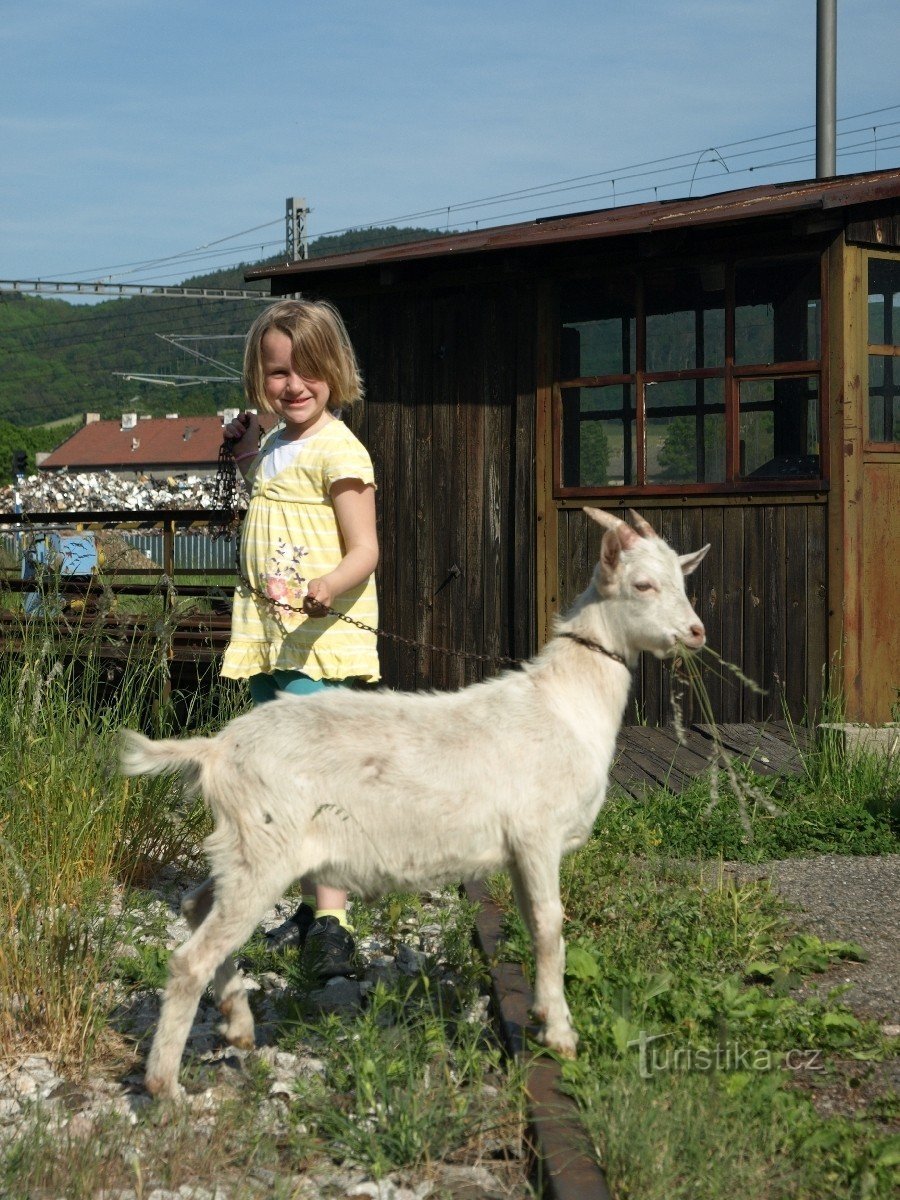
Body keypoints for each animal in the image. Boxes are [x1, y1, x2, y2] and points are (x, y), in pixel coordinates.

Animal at [121, 506, 710, 1099]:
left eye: (683, 582)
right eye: (642, 584)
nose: (696, 633)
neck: (565, 703)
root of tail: (216, 750)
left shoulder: (519, 852)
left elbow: (533, 924)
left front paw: (544, 1015)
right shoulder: (537, 834)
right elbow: (550, 927)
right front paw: (561, 1036)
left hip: (243, 846)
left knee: (195, 907)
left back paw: (237, 1023)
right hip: (263, 850)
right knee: (190, 960)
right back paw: (166, 1087)